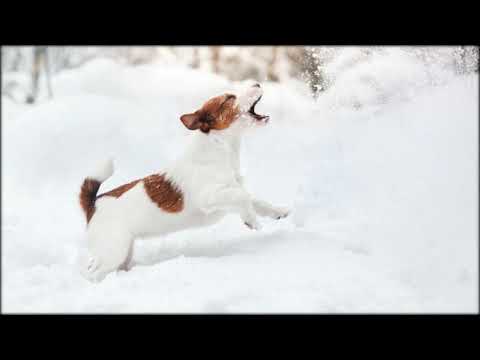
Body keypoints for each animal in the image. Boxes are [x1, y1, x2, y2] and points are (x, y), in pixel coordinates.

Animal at [79, 83, 288, 282]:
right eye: (229, 98)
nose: (257, 83)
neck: (220, 147)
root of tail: (93, 203)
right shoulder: (210, 197)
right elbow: (242, 197)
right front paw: (251, 221)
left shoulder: (231, 189)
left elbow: (255, 200)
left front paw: (278, 211)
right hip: (113, 252)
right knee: (92, 273)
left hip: (123, 251)